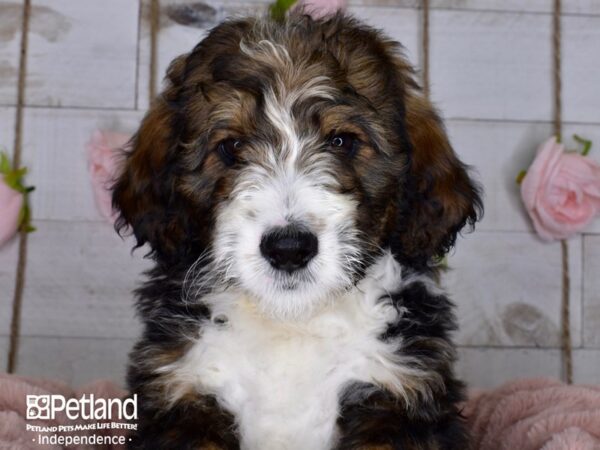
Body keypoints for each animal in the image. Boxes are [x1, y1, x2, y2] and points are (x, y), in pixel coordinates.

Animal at [113, 13, 482, 450]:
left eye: (341, 141)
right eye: (231, 147)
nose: (288, 248)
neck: (292, 323)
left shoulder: (400, 393)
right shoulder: (182, 389)